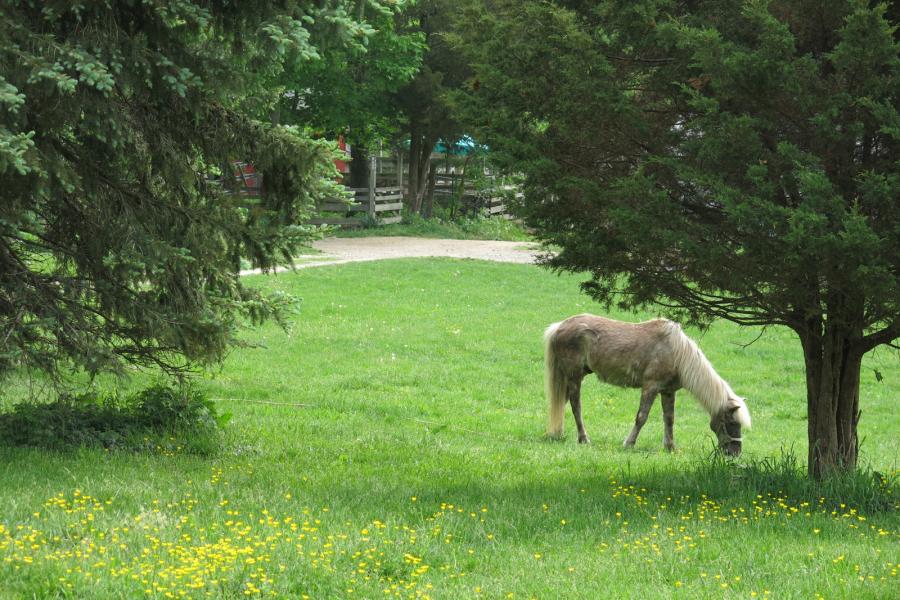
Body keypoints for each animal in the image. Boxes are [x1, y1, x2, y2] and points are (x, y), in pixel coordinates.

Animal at [544, 314, 748, 454]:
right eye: (731, 422)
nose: (735, 453)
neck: (676, 353)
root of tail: (559, 327)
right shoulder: (650, 387)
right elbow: (641, 417)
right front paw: (629, 443)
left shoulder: (668, 392)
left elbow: (669, 419)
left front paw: (670, 447)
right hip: (574, 377)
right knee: (575, 406)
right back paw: (583, 439)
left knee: (561, 404)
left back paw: (555, 433)